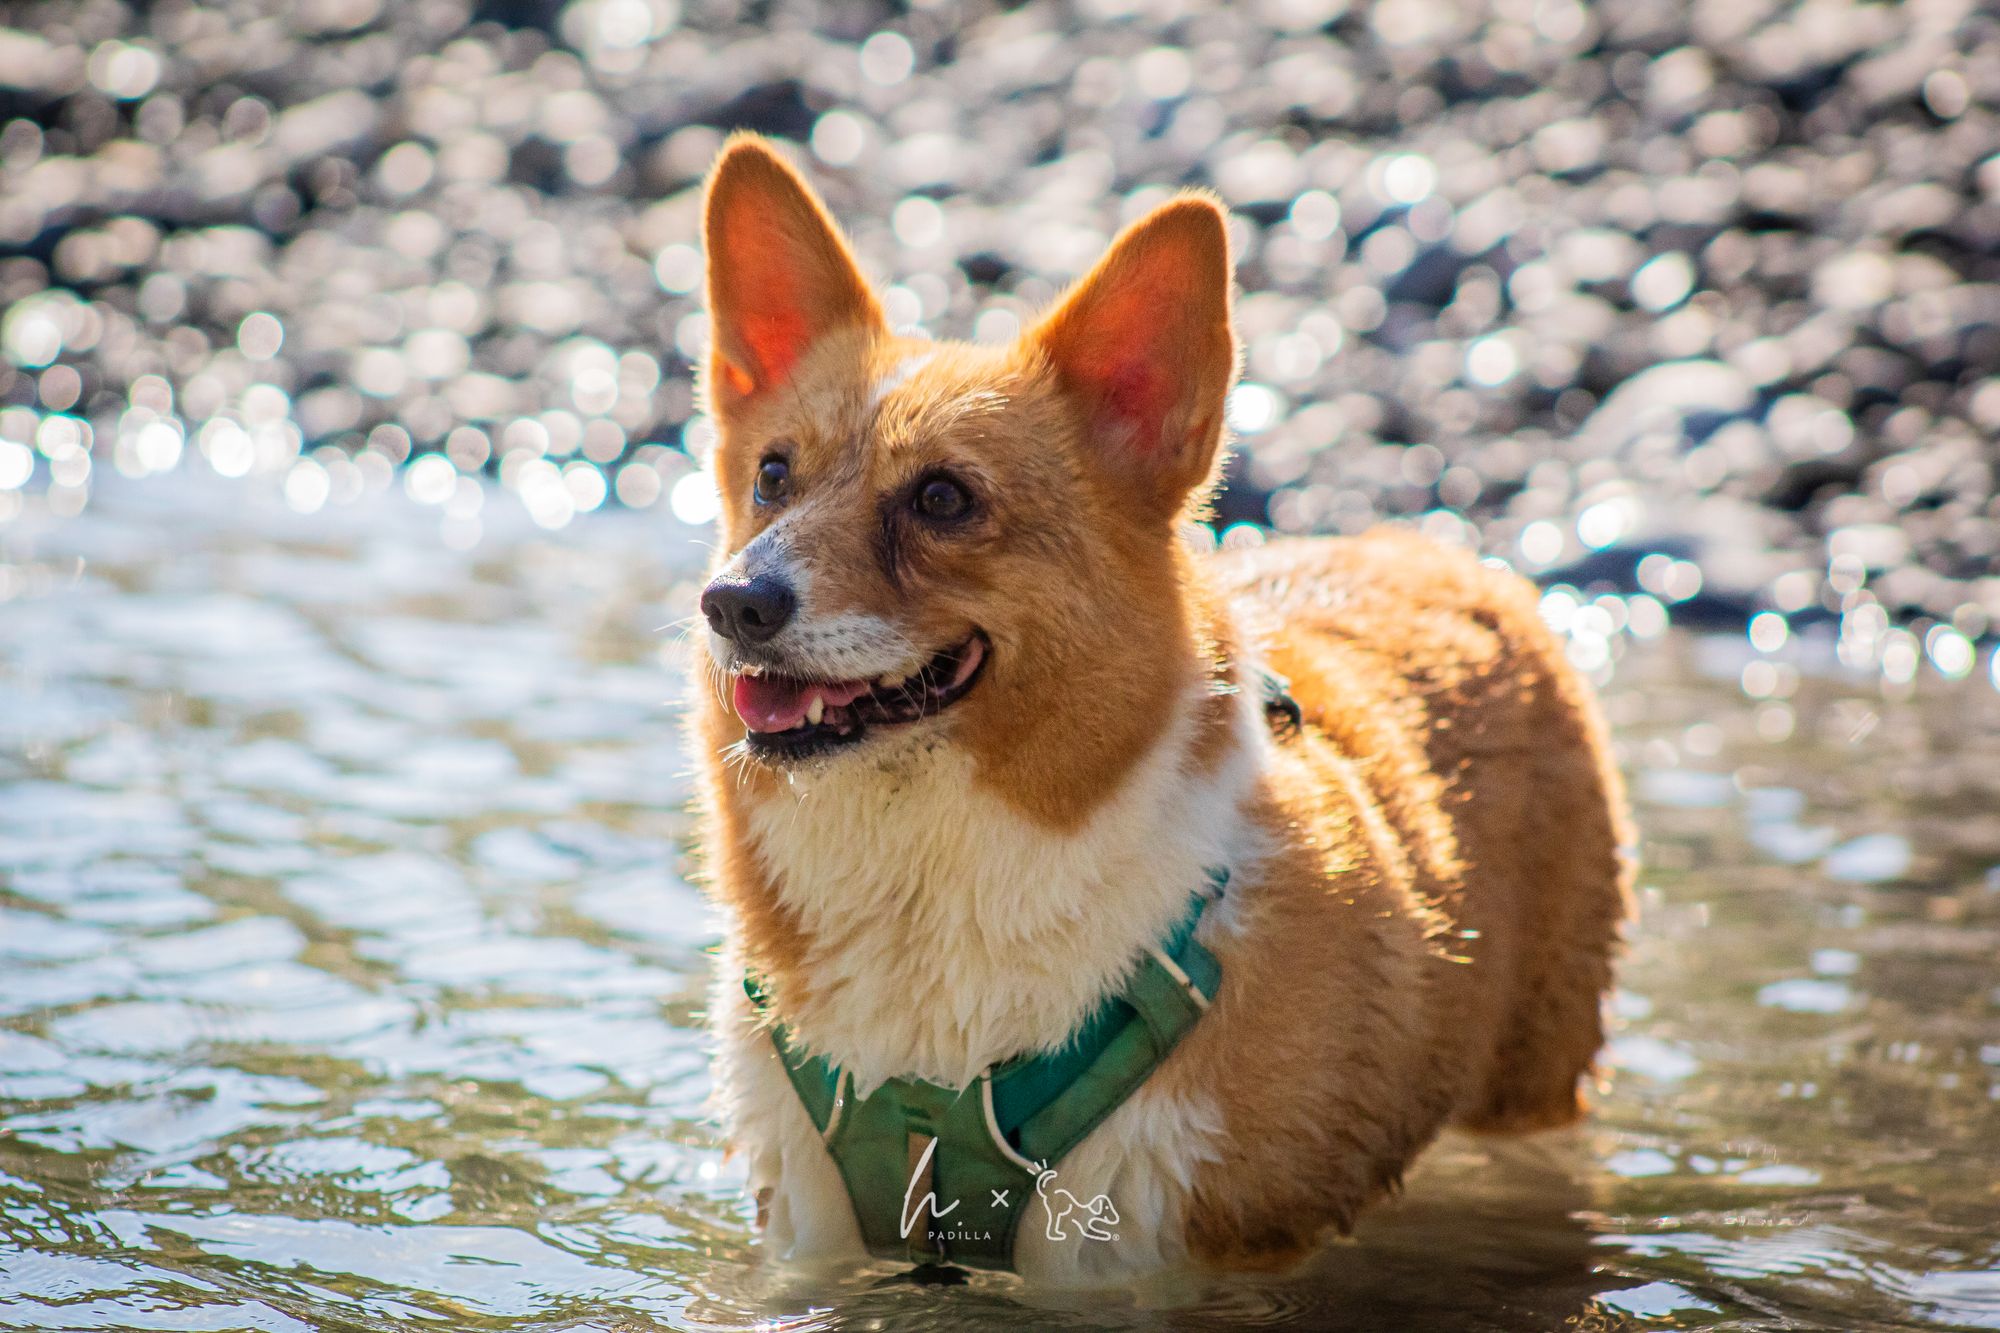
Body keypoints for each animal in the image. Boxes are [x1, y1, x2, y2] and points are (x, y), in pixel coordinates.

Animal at [688, 132, 1624, 1280]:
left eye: (943, 497)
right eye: (772, 474)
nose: (733, 602)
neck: (924, 867)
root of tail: (1426, 546)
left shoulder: (1146, 1251)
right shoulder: (812, 1238)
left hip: (1531, 1079)